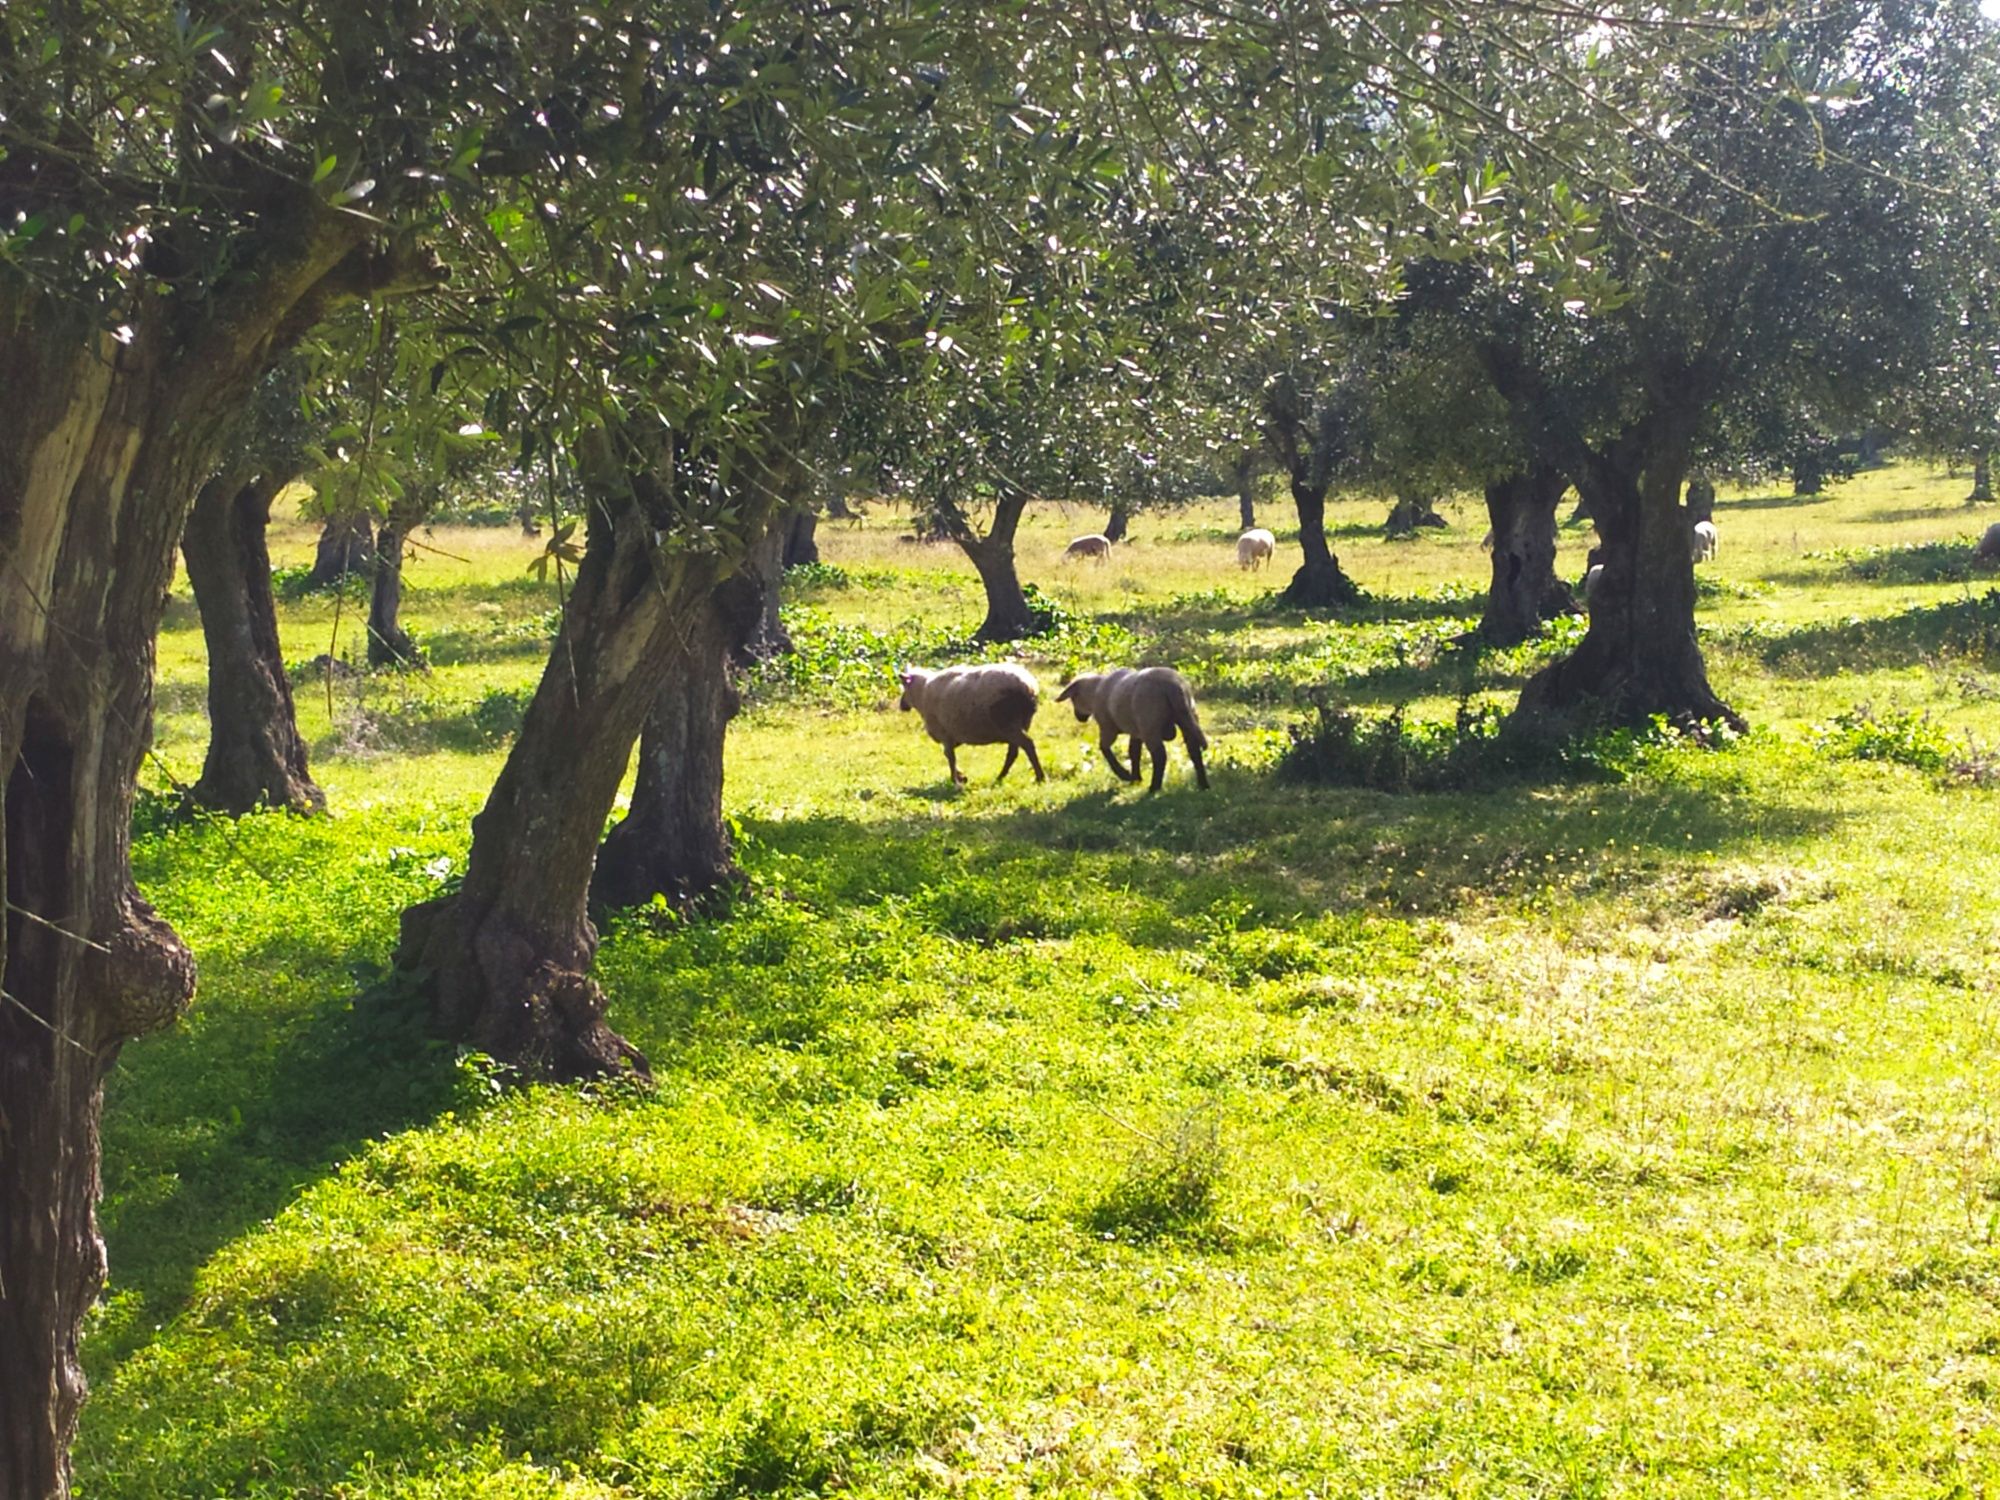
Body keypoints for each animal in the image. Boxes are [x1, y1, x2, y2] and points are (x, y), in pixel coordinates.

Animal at [896, 668, 1048, 792]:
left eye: (904, 687)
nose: (902, 705)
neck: (921, 693)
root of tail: (1029, 687)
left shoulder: (945, 734)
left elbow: (950, 757)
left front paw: (955, 780)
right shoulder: (952, 737)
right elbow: (949, 755)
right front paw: (961, 776)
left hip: (1008, 723)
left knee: (1027, 745)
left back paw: (1039, 777)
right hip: (1021, 723)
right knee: (1014, 752)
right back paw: (1000, 777)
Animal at [1056, 664, 1208, 792]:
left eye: (1073, 698)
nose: (1079, 718)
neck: (1095, 692)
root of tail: (1173, 686)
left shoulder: (1108, 728)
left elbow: (1105, 749)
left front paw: (1125, 775)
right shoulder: (1136, 732)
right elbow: (1134, 753)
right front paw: (1135, 778)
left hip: (1150, 725)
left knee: (1160, 756)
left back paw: (1154, 787)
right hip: (1187, 718)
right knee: (1194, 751)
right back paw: (1203, 784)